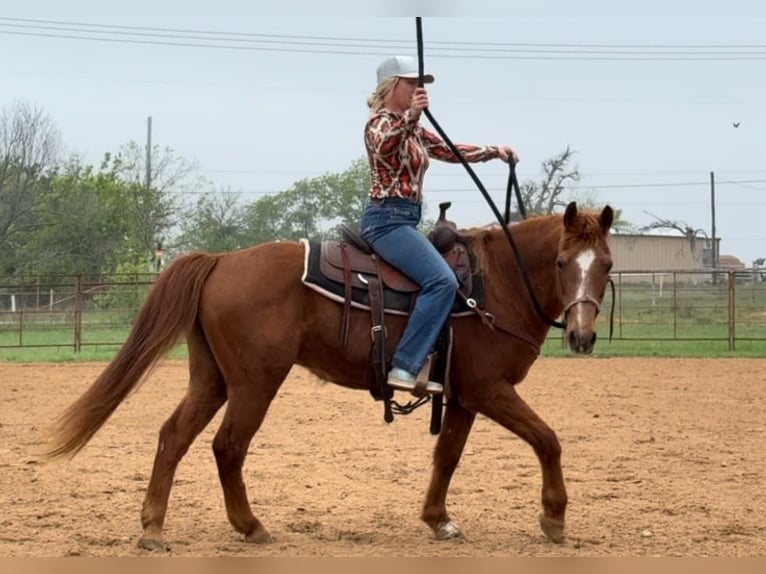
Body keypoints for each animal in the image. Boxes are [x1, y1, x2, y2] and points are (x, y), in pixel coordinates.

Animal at [44, 201, 614, 551]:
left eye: (606, 265)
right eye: (562, 262)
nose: (582, 337)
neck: (493, 286)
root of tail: (222, 260)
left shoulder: (463, 397)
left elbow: (447, 457)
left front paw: (438, 519)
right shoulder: (489, 389)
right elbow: (548, 439)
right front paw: (554, 518)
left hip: (212, 379)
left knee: (173, 437)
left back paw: (154, 528)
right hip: (255, 382)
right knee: (227, 446)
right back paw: (250, 527)